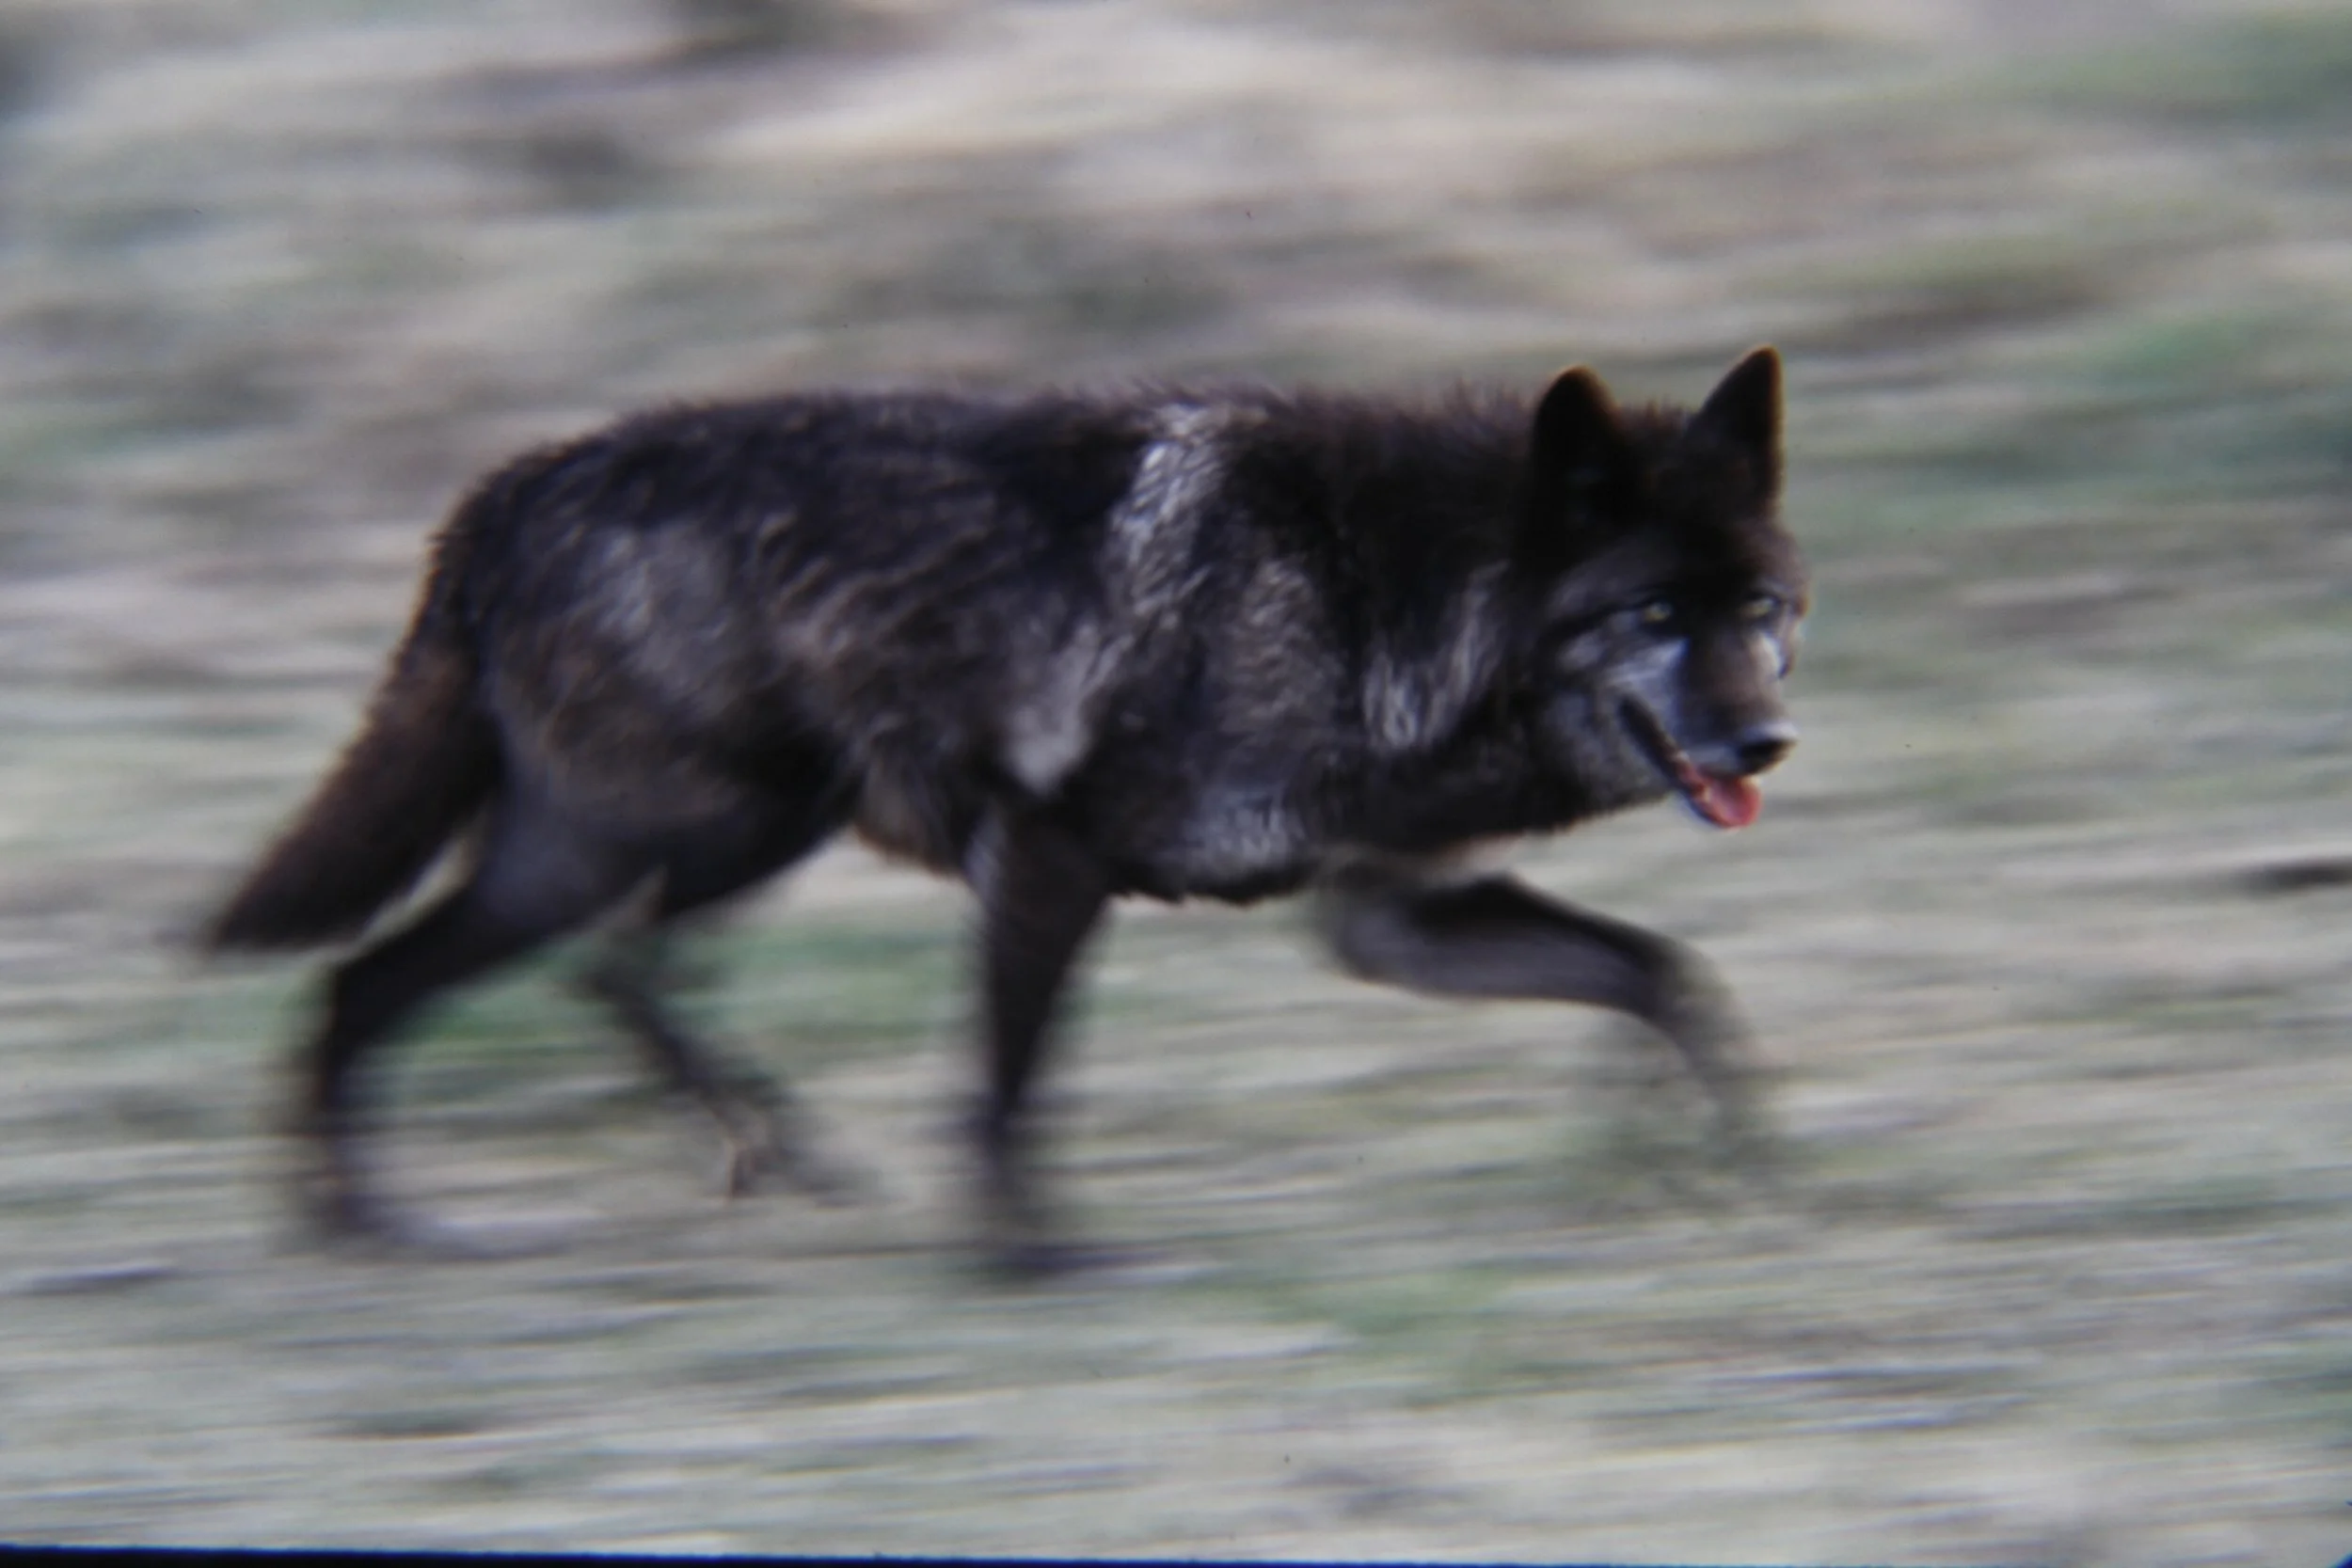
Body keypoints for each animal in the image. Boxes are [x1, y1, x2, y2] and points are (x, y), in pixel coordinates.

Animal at [203, 346, 1805, 1267]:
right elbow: (1006, 1088)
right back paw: (375, 1224)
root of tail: (512, 488)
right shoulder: (1048, 858)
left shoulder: (1392, 920)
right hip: (645, 842)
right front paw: (1024, 1258)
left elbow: (1663, 974)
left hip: (715, 839)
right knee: (403, 978)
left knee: (573, 971)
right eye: (1656, 612)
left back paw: (732, 1160)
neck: (1376, 592)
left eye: (1761, 608)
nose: (1769, 739)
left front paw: (1724, 1153)